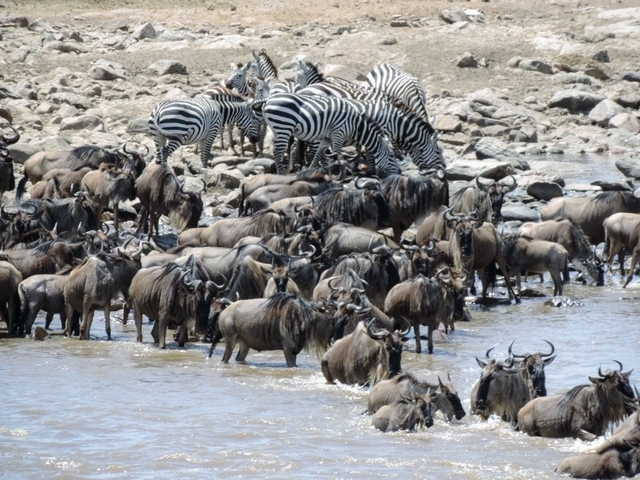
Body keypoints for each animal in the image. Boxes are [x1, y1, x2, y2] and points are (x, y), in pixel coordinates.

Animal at [262, 93, 400, 177]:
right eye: (391, 156)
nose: (399, 173)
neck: (355, 125)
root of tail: (268, 99)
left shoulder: (327, 138)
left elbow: (318, 155)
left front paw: (310, 170)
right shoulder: (338, 133)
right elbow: (336, 154)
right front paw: (339, 173)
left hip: (276, 129)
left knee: (276, 150)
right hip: (284, 126)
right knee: (277, 151)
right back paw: (282, 174)